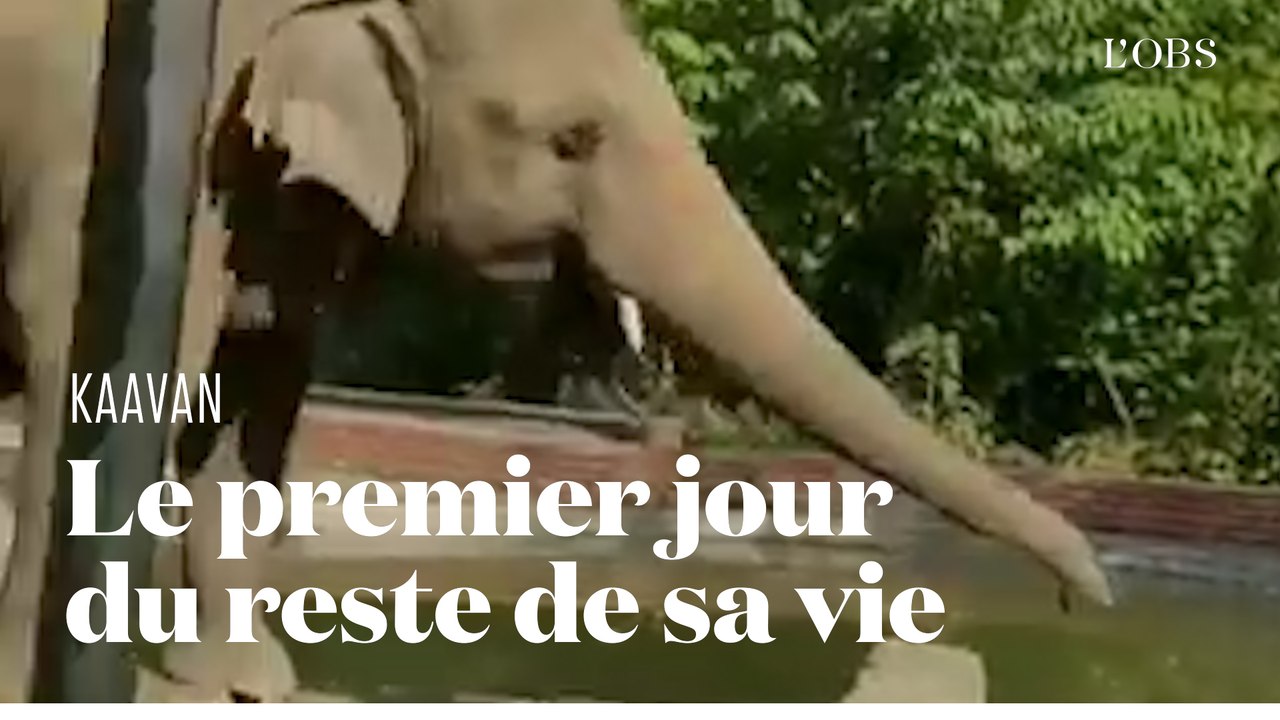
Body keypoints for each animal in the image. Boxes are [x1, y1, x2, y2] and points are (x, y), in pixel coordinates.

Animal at [0, 0, 1113, 703]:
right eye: (574, 138)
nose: (1085, 599)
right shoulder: (105, 162)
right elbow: (84, 381)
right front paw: (32, 684)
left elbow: (259, 392)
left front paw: (248, 685)